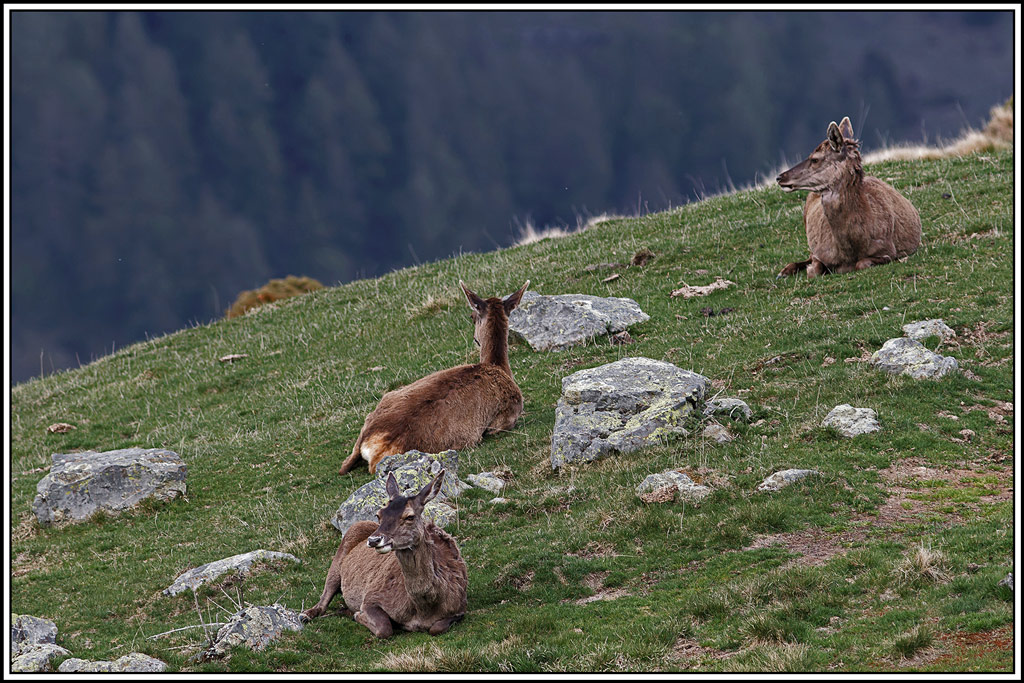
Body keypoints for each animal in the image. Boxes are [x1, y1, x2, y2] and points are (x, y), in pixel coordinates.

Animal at [301, 470, 468, 638]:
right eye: (379, 514)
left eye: (410, 516)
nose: (374, 540)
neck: (424, 609)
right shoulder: (371, 597)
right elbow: (384, 628)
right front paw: (357, 615)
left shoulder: (460, 608)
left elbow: (436, 628)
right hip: (337, 561)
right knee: (324, 597)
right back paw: (305, 615)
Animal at [338, 280, 529, 476]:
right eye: (471, 316)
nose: (475, 339)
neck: (499, 367)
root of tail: (371, 446)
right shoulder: (506, 418)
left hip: (382, 402)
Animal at [776, 117, 922, 279]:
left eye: (815, 159)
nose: (780, 177)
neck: (850, 249)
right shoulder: (819, 252)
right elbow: (815, 270)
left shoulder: (888, 250)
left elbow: (862, 263)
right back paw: (784, 271)